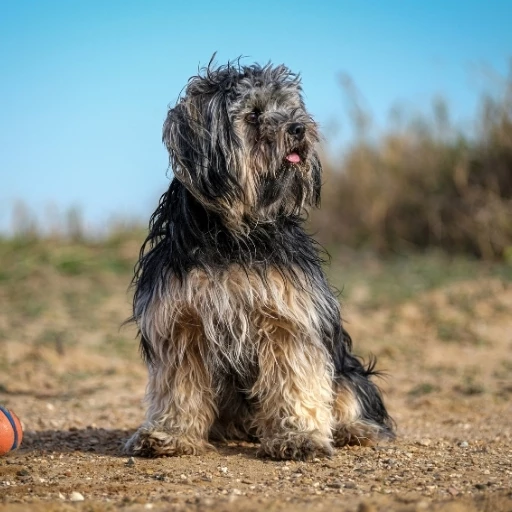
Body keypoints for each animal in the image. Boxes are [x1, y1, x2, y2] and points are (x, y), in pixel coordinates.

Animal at [125, 57, 396, 460]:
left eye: (291, 108)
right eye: (253, 115)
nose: (299, 127)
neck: (233, 234)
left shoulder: (287, 317)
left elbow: (295, 381)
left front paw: (298, 436)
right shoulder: (180, 321)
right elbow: (178, 387)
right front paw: (170, 435)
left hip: (348, 369)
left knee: (349, 395)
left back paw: (354, 429)